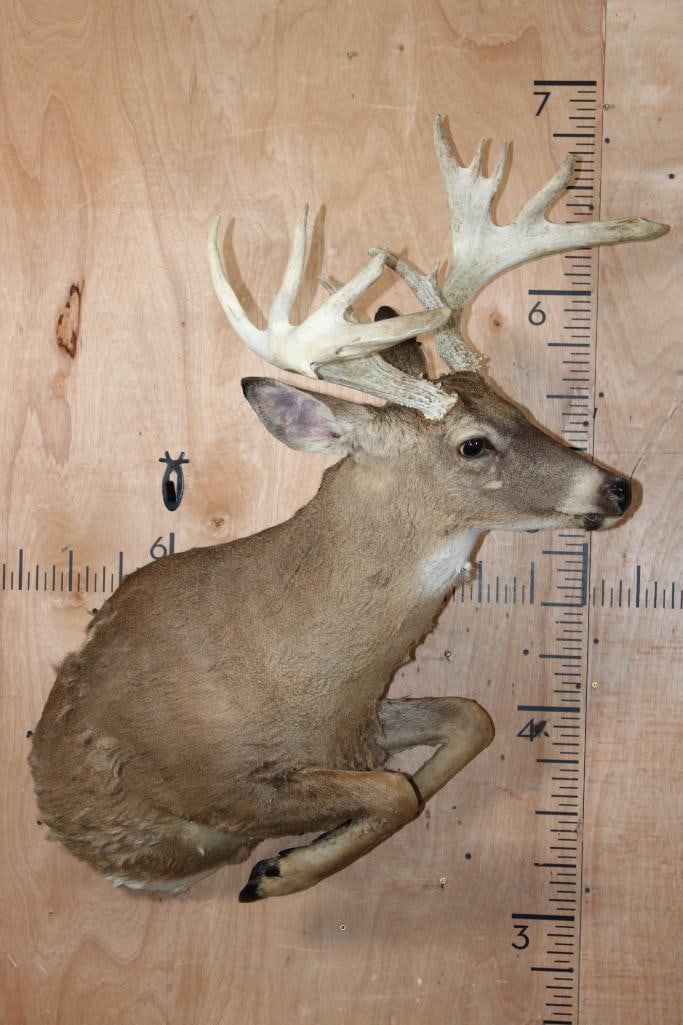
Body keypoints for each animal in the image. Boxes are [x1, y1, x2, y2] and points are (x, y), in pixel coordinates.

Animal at [30, 117, 666, 902]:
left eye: (514, 405)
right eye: (473, 444)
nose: (617, 488)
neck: (291, 667)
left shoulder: (359, 725)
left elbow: (469, 721)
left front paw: (291, 857)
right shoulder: (214, 784)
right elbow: (395, 793)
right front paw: (275, 869)